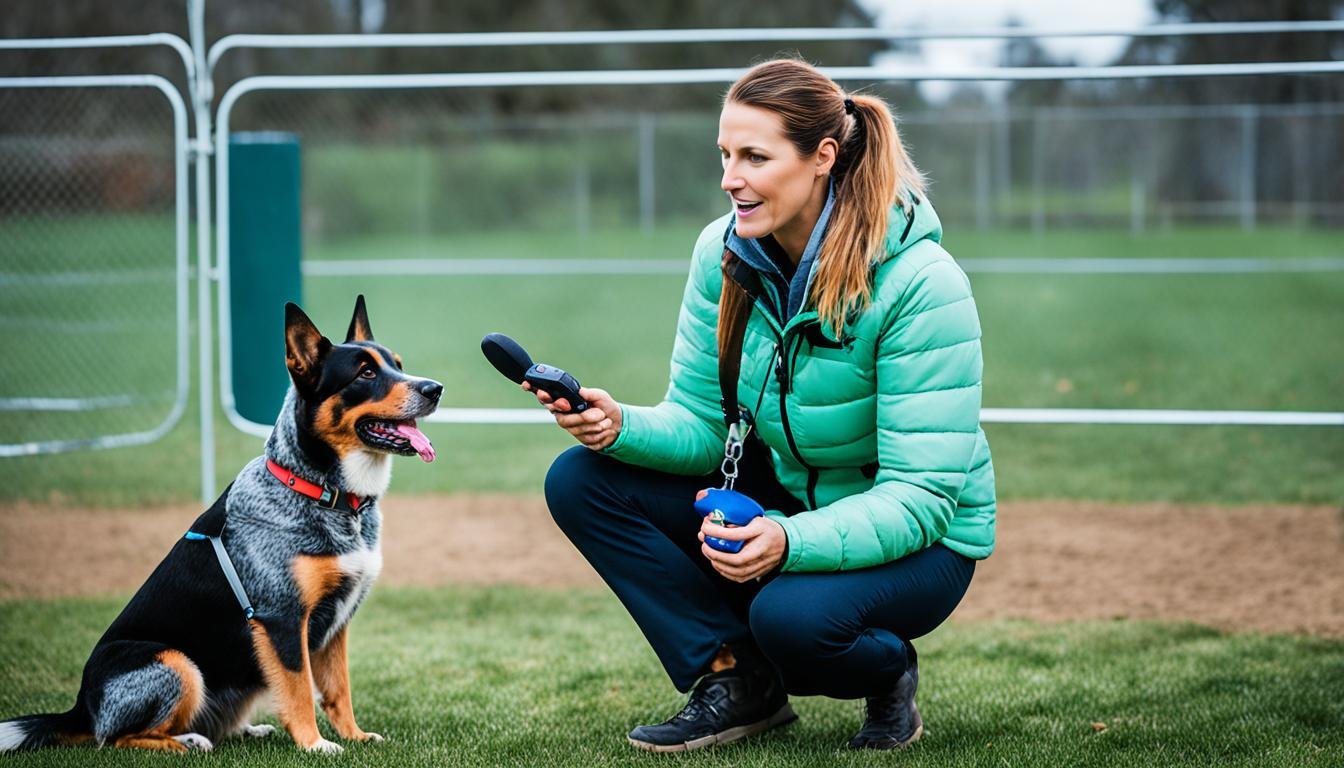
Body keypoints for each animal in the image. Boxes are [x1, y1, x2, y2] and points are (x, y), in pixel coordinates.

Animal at [0, 295, 443, 758]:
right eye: (366, 373)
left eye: (397, 364)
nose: (435, 389)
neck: (321, 491)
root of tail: (81, 709)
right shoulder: (281, 618)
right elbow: (300, 690)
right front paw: (314, 744)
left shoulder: (336, 624)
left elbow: (339, 690)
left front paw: (354, 736)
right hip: (174, 662)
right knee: (115, 737)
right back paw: (187, 741)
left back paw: (242, 730)